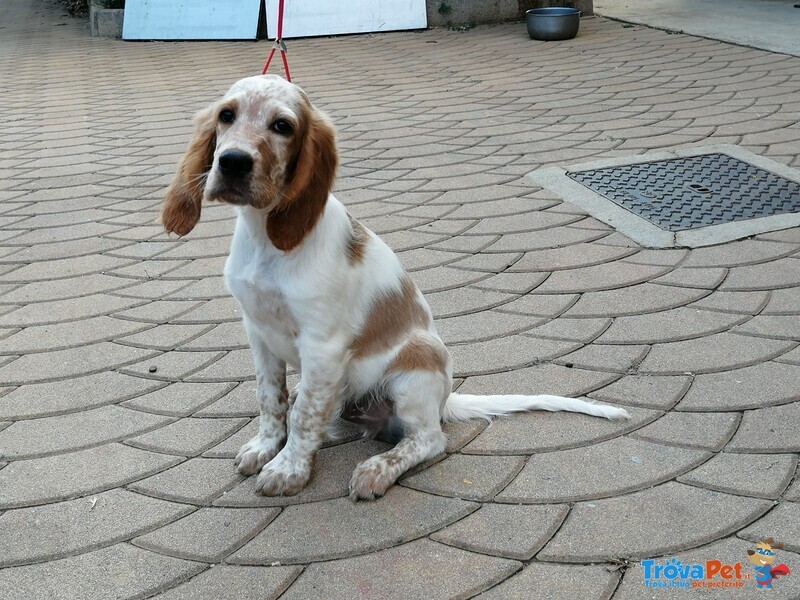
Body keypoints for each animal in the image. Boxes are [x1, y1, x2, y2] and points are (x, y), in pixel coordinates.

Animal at [159, 75, 628, 502]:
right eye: (226, 115)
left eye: (282, 126)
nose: (233, 161)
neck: (266, 238)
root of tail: (445, 400)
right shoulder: (258, 332)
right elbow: (271, 400)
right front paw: (265, 447)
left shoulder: (322, 346)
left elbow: (304, 416)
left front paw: (289, 469)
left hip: (416, 367)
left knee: (429, 439)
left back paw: (377, 469)